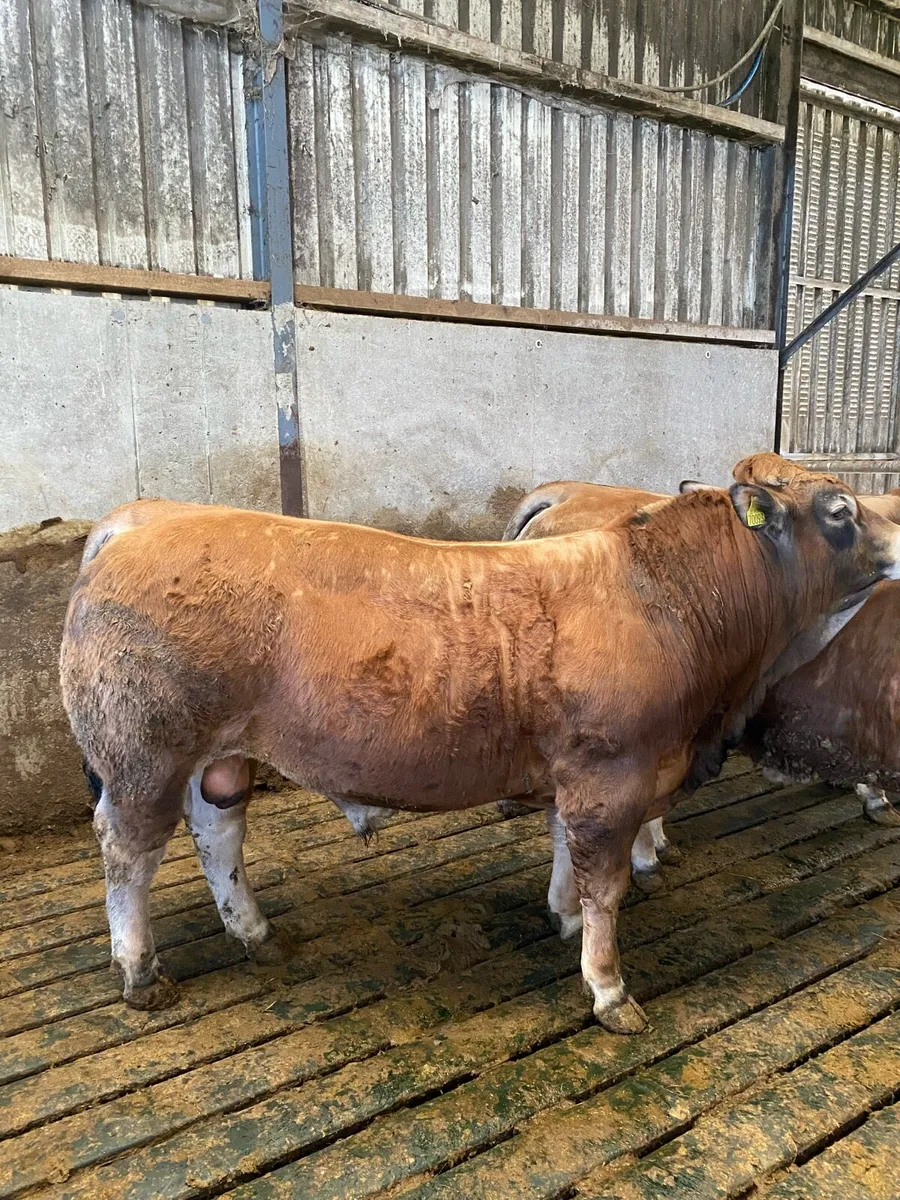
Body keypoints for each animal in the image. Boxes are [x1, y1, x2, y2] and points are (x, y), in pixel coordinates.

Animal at [60, 454, 900, 1033]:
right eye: (839, 511)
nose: (899, 533)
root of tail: (144, 518)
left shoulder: (581, 773)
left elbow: (567, 854)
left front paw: (563, 917)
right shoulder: (614, 775)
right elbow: (605, 884)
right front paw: (609, 989)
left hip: (219, 753)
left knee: (217, 830)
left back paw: (255, 932)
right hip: (142, 751)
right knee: (130, 852)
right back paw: (140, 973)